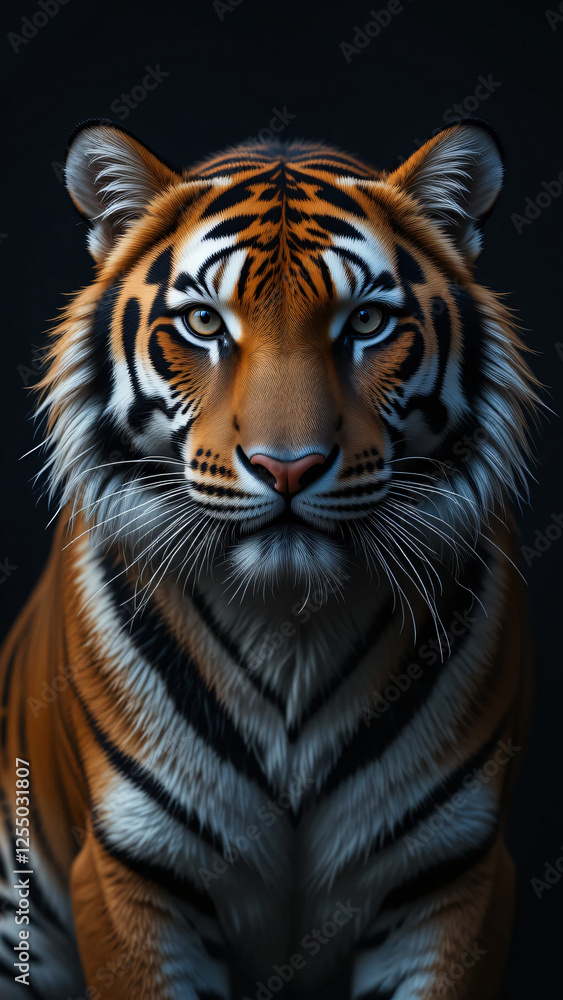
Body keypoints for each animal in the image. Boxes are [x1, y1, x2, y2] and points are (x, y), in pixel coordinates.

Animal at [0, 116, 538, 1000]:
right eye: (204, 324)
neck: (290, 625)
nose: (289, 467)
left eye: (365, 323)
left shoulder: (451, 876)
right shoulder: (131, 874)